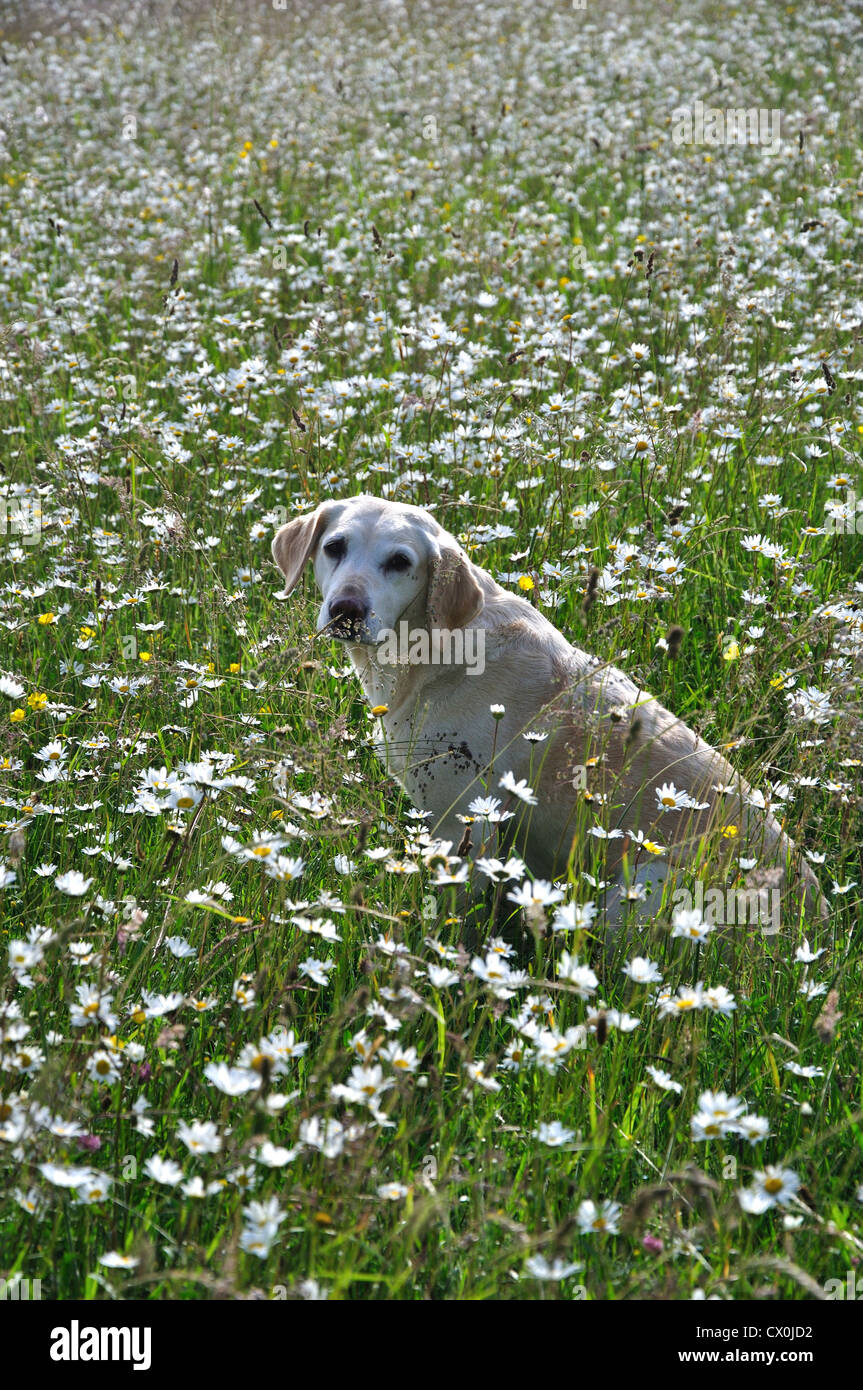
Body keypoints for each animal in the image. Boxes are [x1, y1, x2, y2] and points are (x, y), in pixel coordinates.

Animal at [272, 494, 822, 939]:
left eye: (400, 562)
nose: (345, 610)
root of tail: (815, 918)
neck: (436, 648)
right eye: (335, 547)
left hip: (639, 890)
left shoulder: (465, 824)